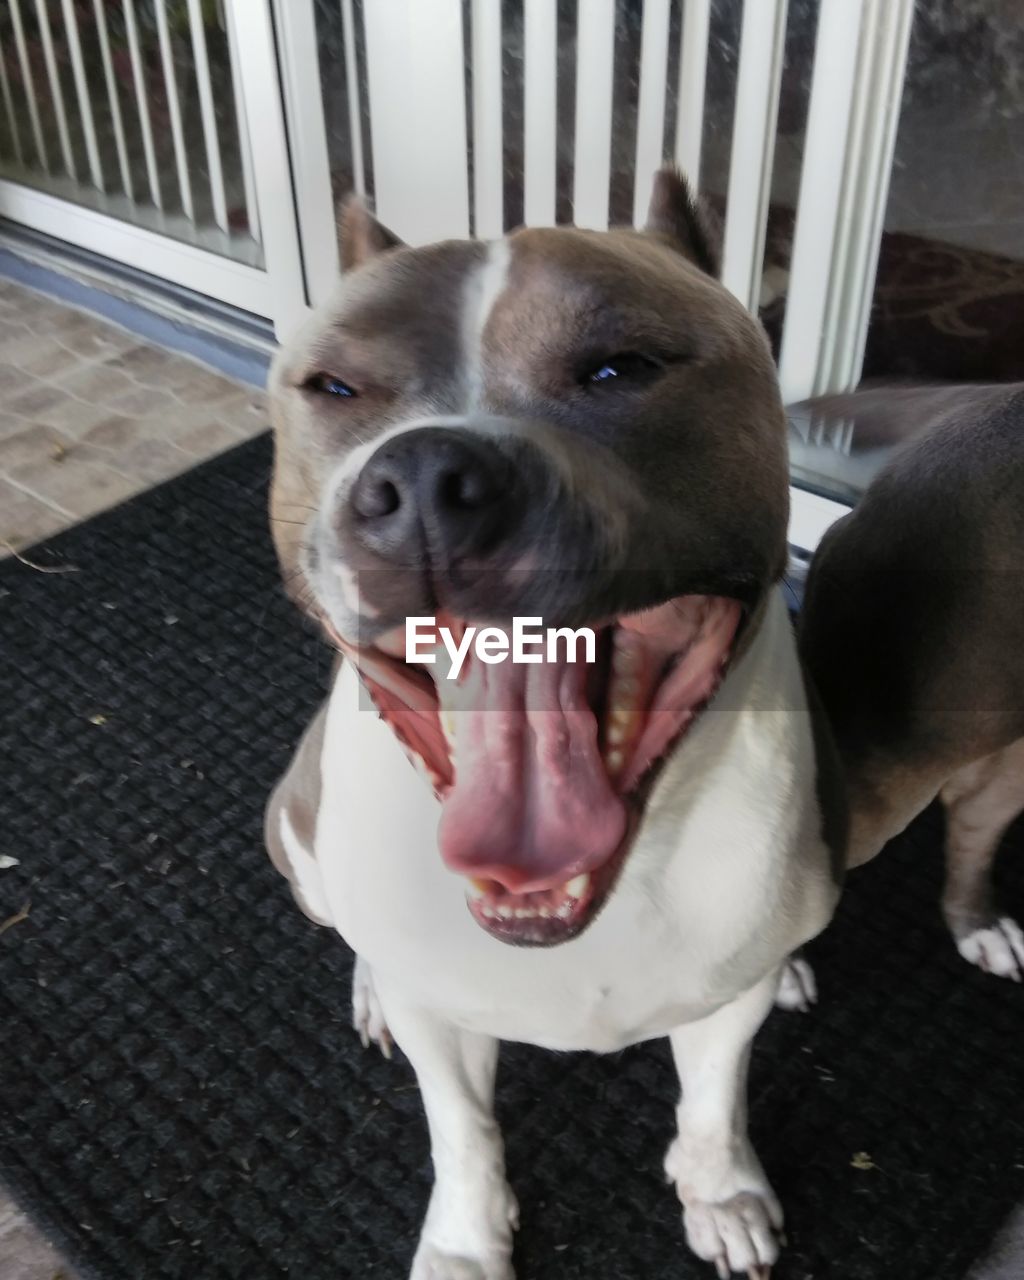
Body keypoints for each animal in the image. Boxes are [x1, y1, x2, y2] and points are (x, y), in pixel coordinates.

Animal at [267, 172, 844, 1280]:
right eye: (335, 387)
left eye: (623, 366)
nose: (424, 481)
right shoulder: (445, 1023)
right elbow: (462, 1129)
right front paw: (463, 1243)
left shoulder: (726, 1001)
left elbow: (714, 1100)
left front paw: (721, 1191)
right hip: (296, 836)